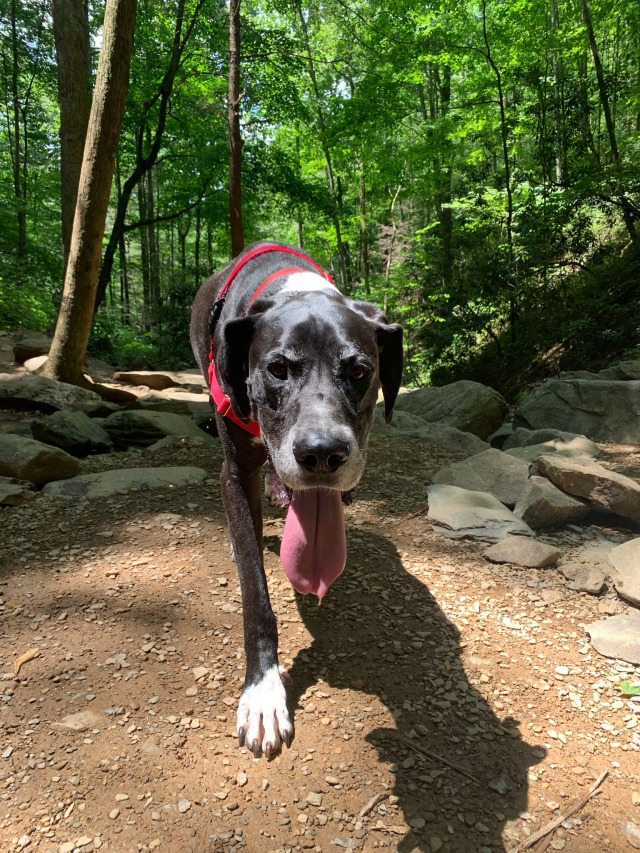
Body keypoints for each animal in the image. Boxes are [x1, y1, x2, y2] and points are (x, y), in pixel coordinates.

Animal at [189, 241, 404, 760]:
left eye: (360, 371)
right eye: (278, 369)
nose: (322, 453)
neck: (296, 290)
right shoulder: (233, 472)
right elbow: (255, 593)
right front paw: (263, 692)